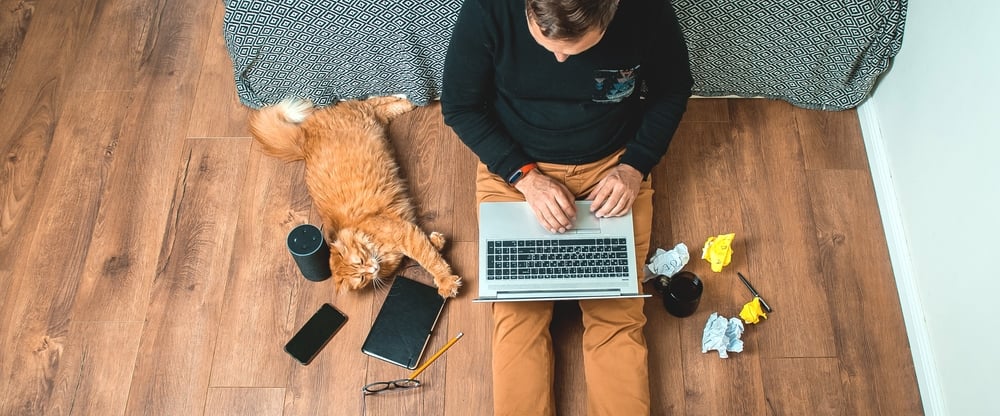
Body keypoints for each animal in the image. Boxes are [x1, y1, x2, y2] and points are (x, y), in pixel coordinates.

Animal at [254, 96, 464, 300]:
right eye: (362, 277)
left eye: (361, 261)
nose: (373, 269)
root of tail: (303, 140)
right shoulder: (408, 232)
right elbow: (429, 248)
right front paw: (438, 241)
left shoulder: (405, 234)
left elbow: (430, 260)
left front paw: (446, 283)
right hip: (375, 119)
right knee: (380, 104)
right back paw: (407, 100)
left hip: (364, 115)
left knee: (371, 100)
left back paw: (414, 99)